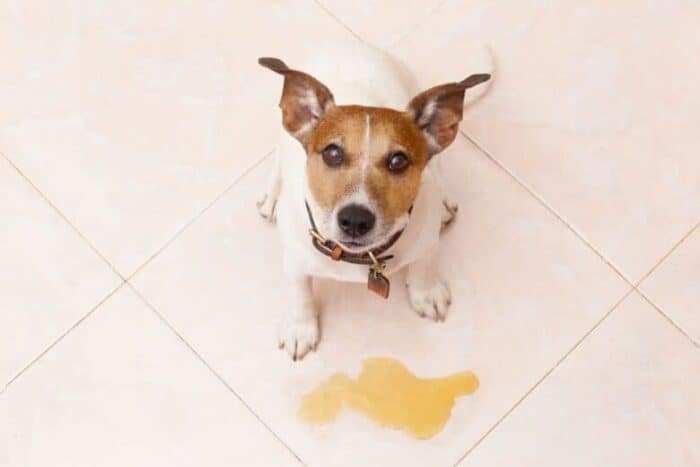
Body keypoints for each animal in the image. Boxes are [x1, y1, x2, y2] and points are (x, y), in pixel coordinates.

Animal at [258, 41, 492, 362]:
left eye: (398, 161)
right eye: (332, 153)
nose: (356, 219)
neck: (359, 257)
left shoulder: (426, 241)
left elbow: (423, 265)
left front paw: (425, 292)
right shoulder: (295, 261)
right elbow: (300, 292)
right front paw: (300, 327)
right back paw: (271, 196)